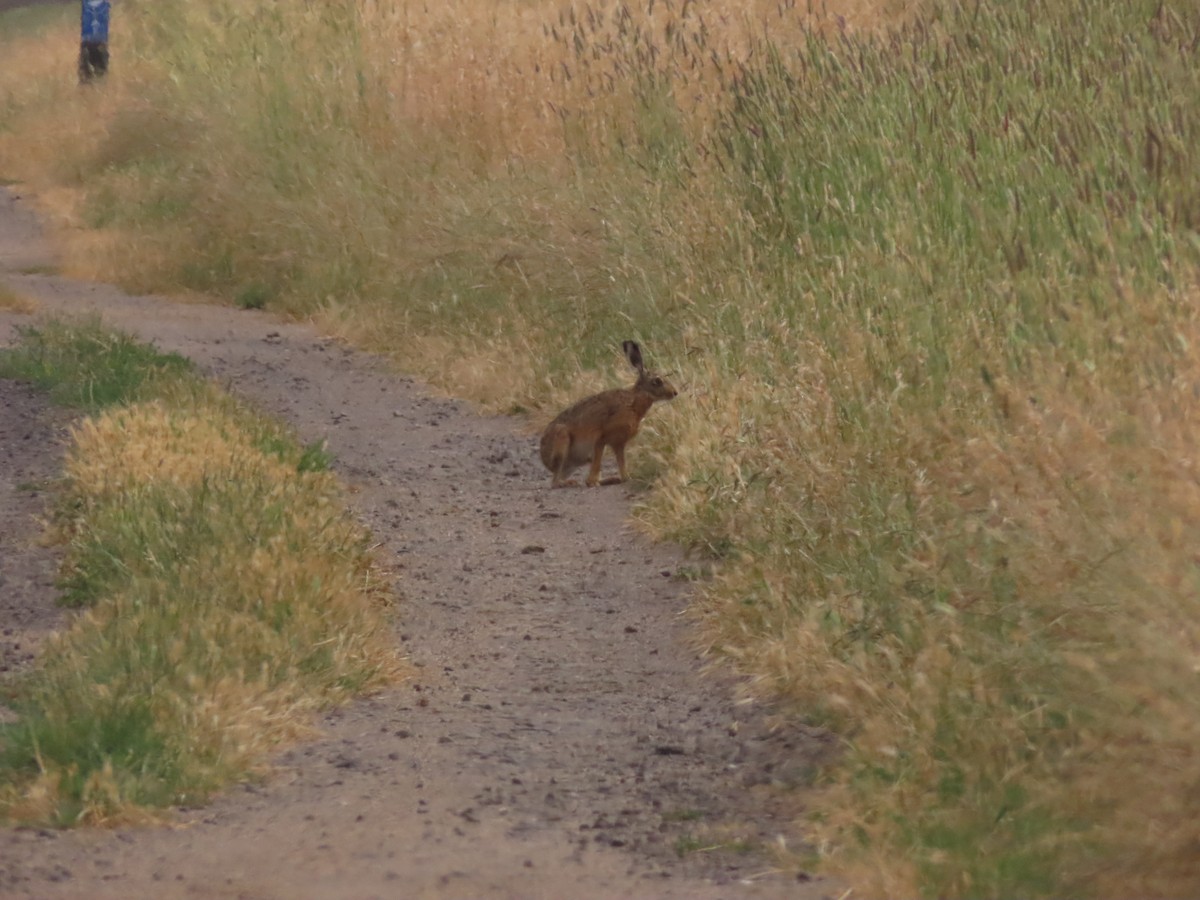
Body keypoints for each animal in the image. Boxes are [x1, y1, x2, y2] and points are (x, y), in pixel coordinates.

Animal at [540, 340, 678, 487]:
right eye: (657, 381)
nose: (675, 392)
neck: (634, 401)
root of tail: (545, 460)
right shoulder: (602, 438)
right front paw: (598, 482)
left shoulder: (618, 443)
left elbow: (621, 462)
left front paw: (626, 477)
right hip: (561, 441)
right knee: (555, 481)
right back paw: (571, 482)